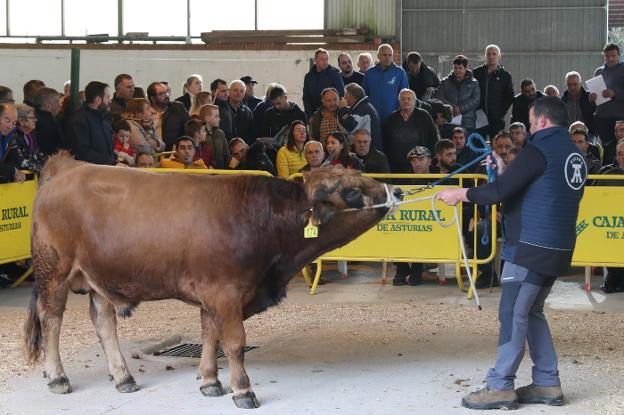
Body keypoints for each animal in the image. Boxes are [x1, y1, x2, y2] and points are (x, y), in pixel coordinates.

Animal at [24, 153, 402, 410]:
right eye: (350, 191)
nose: (397, 190)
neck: (259, 218)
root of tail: (67, 167)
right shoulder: (226, 292)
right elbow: (233, 342)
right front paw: (242, 390)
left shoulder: (212, 292)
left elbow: (210, 333)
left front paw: (209, 381)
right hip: (54, 271)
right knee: (51, 319)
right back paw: (57, 377)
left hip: (99, 277)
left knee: (104, 322)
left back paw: (123, 377)